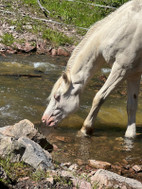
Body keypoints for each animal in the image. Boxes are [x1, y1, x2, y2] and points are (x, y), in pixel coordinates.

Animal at [42, 0, 142, 137]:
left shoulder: (121, 70)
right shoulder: (133, 74)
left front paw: (86, 128)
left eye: (57, 97)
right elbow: (131, 106)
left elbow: (99, 97)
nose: (44, 120)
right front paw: (130, 136)